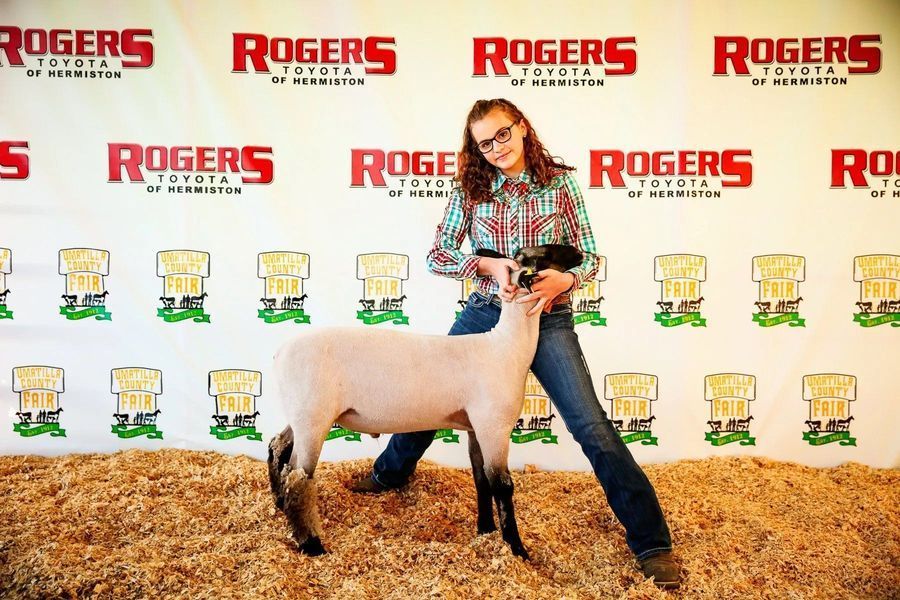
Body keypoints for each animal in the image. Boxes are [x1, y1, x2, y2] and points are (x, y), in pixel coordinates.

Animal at [268, 244, 583, 560]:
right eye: (545, 254)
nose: (580, 254)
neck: (506, 347)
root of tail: (280, 351)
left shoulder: (475, 428)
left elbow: (481, 479)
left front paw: (486, 530)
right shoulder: (494, 427)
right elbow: (502, 485)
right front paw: (517, 549)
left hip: (301, 413)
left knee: (277, 447)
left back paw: (279, 502)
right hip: (314, 417)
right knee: (298, 477)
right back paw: (312, 544)